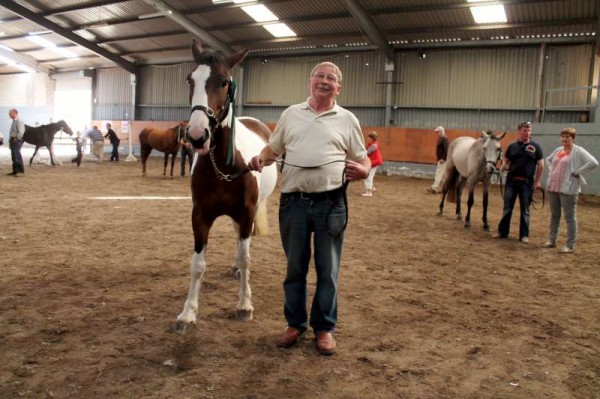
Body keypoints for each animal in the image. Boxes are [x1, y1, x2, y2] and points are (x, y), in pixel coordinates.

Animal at [172, 39, 278, 334]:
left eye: (224, 82)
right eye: (190, 79)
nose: (197, 136)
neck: (222, 165)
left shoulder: (247, 212)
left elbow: (246, 257)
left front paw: (244, 305)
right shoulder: (200, 215)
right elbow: (197, 264)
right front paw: (188, 313)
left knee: (244, 243)